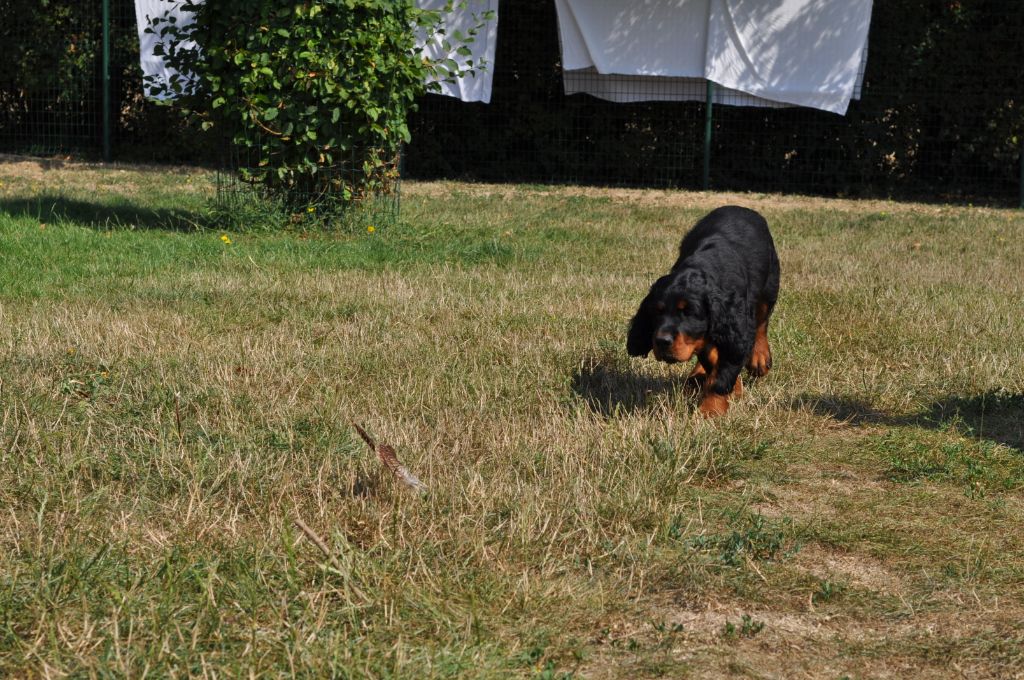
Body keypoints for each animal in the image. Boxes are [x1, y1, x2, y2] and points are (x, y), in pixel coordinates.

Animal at [622, 204, 782, 417]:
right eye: (657, 312)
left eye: (689, 312)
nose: (662, 341)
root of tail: (739, 207)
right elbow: (714, 359)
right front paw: (730, 389)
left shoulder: (736, 322)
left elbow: (723, 370)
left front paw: (710, 411)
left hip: (770, 284)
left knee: (762, 321)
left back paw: (759, 358)